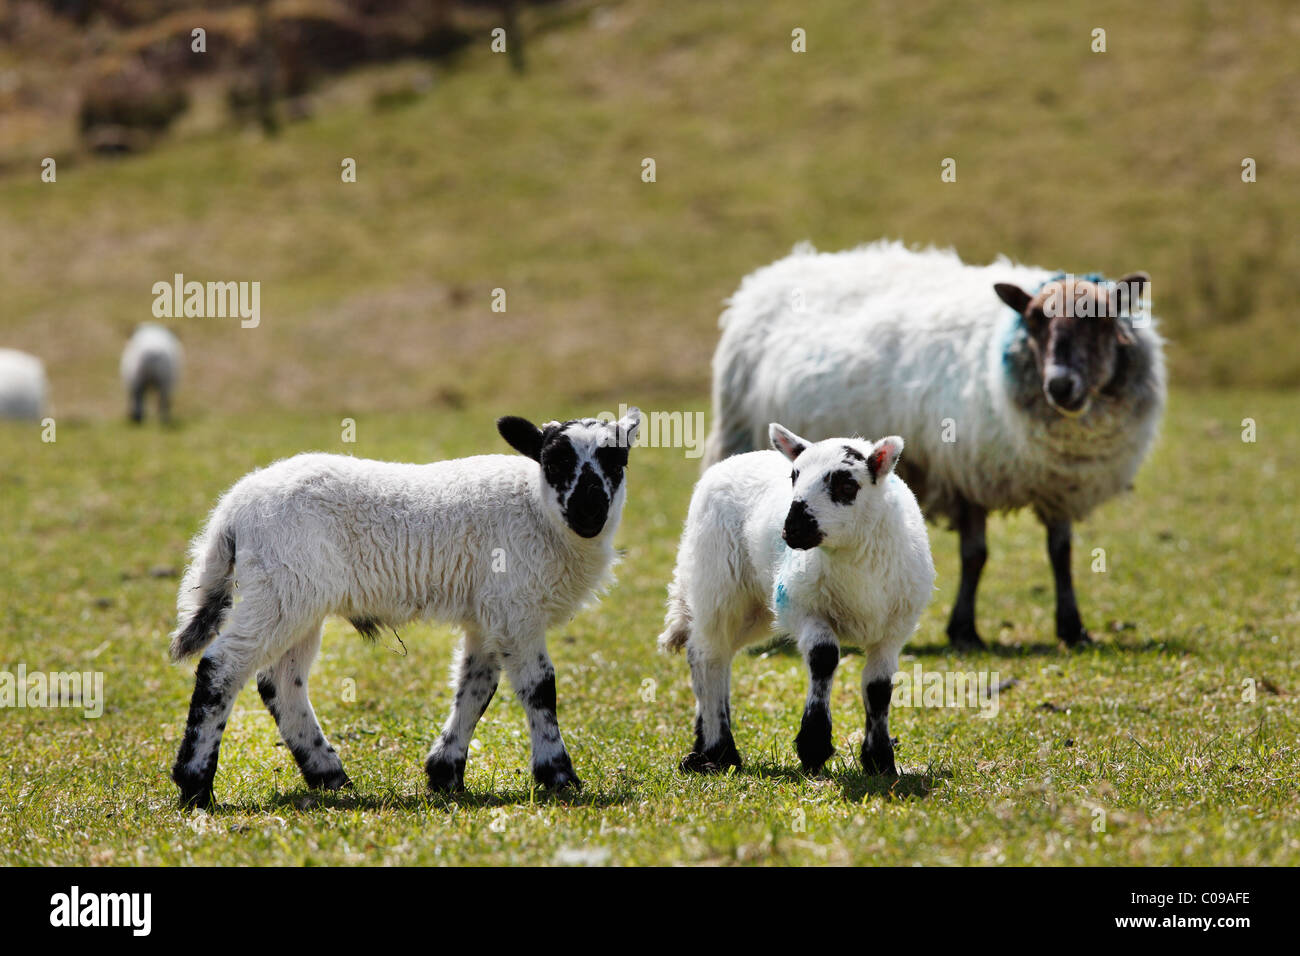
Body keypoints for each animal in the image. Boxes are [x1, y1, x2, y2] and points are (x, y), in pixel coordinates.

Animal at [167, 408, 644, 811]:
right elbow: (540, 688)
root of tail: (233, 508)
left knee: (281, 682)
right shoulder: (516, 608)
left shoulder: (489, 613)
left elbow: (476, 687)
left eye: (617, 459)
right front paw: (558, 775)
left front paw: (445, 773)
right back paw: (195, 785)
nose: (589, 509)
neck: (536, 510)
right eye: (554, 460)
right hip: (282, 589)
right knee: (222, 667)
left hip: (297, 598)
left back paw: (329, 775)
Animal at [660, 426, 935, 780]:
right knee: (708, 656)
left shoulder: (893, 631)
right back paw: (720, 751)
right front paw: (814, 746)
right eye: (795, 475)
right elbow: (824, 657)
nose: (793, 528)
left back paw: (704, 747)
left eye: (846, 485)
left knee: (714, 654)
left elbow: (878, 688)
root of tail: (731, 461)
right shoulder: (800, 606)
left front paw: (880, 760)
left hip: (754, 609)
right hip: (718, 582)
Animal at [702, 243, 1170, 655]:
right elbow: (975, 554)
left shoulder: (1057, 482)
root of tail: (769, 277)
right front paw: (964, 631)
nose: (1060, 384)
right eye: (1035, 320)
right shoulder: (967, 474)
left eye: (1103, 322)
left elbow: (1061, 554)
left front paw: (1072, 629)